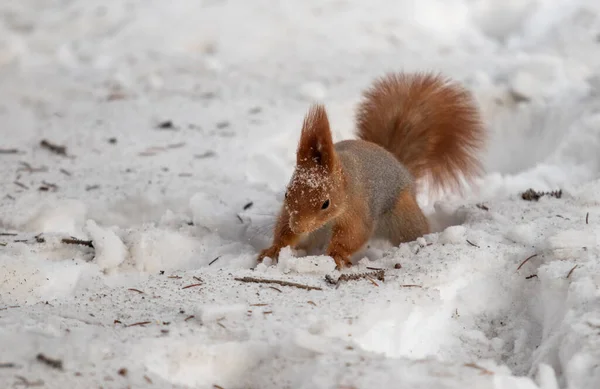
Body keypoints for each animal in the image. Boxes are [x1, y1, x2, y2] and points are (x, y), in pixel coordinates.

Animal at [255, 71, 486, 268]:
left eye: (325, 203)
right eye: (287, 194)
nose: (299, 227)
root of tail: (401, 166)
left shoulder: (358, 210)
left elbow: (354, 234)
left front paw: (336, 255)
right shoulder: (288, 213)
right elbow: (284, 230)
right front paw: (273, 249)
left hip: (403, 217)